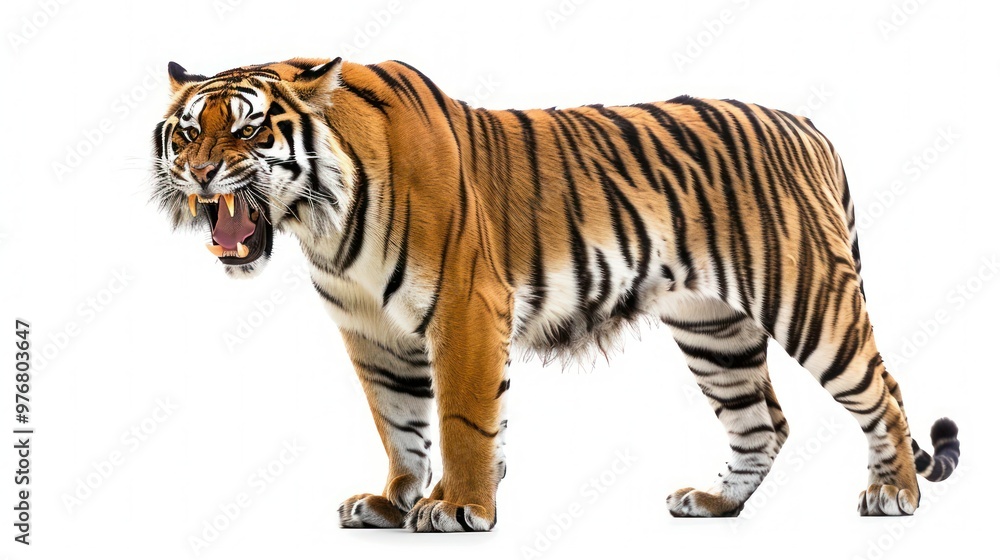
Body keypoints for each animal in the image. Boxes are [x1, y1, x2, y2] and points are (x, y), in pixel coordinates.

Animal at [150, 57, 961, 531]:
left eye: (248, 131)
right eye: (185, 133)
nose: (197, 174)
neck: (321, 219)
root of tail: (806, 124)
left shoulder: (466, 307)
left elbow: (463, 418)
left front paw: (461, 506)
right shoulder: (371, 332)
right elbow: (398, 423)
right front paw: (391, 501)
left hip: (808, 297)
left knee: (882, 391)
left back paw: (893, 495)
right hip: (714, 328)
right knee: (763, 422)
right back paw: (714, 503)